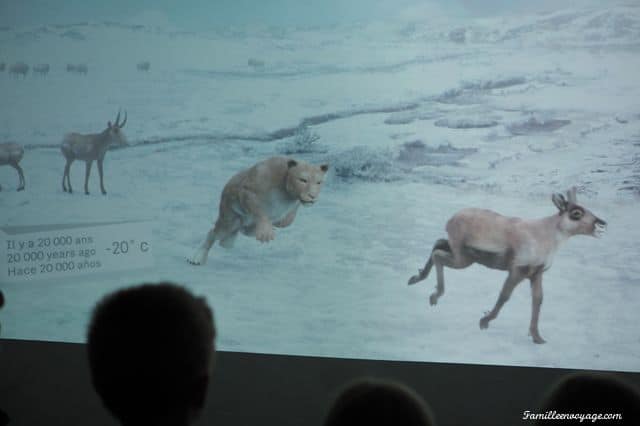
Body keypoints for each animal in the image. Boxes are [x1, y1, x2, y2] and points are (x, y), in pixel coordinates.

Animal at [189, 156, 330, 262]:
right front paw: (265, 232)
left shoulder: (290, 208)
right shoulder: (249, 190)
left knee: (238, 233)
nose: (312, 196)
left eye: (319, 182)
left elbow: (286, 221)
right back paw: (197, 258)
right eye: (303, 180)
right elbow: (259, 210)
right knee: (214, 232)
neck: (287, 191)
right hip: (229, 218)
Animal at [408, 188, 608, 344]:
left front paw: (537, 337)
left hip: (460, 254)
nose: (602, 224)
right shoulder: (517, 270)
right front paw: (484, 321)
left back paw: (417, 278)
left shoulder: (537, 273)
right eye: (576, 213)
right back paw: (433, 295)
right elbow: (504, 295)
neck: (548, 235)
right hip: (462, 258)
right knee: (438, 255)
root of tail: (451, 219)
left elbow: (538, 300)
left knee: (437, 244)